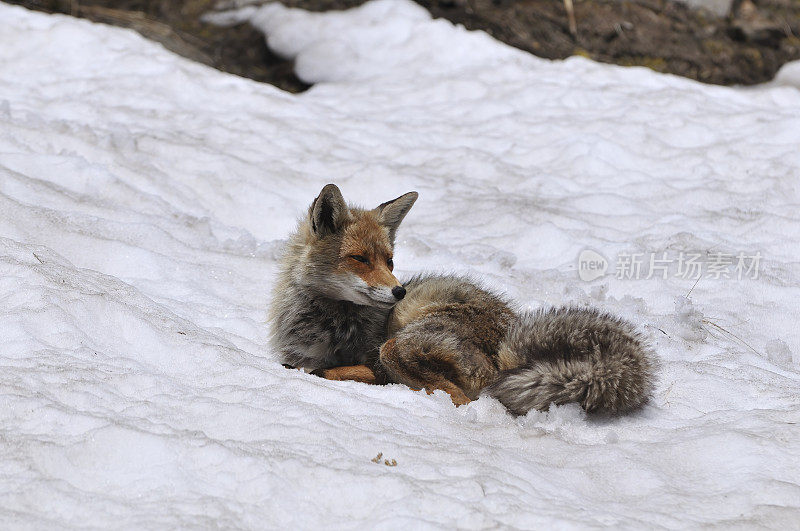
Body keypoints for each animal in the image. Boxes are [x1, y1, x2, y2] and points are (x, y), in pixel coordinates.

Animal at [270, 184, 656, 416]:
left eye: (389, 261)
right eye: (360, 259)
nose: (399, 292)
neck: (330, 326)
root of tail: (506, 346)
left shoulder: (373, 354)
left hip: (397, 347)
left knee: (464, 398)